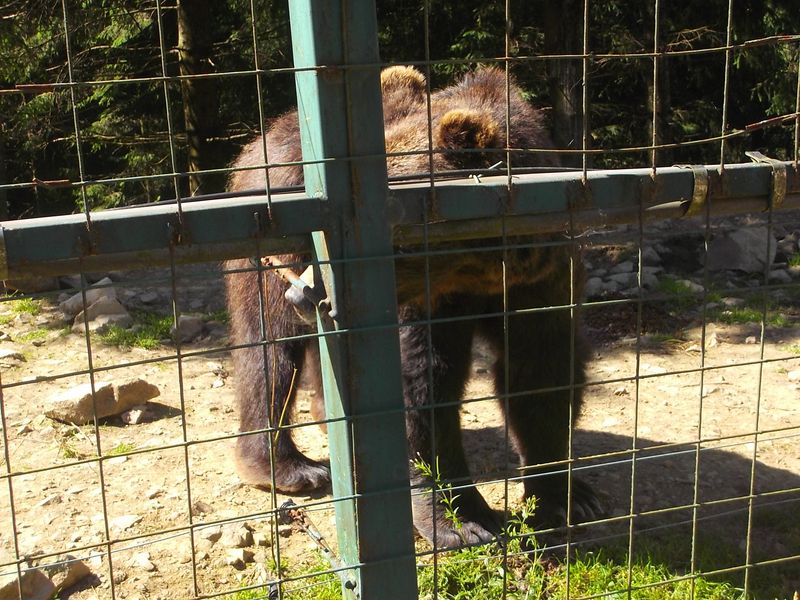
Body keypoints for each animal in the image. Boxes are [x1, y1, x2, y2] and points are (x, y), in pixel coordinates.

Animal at [224, 66, 601, 548]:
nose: (305, 294)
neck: (477, 270)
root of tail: (266, 133)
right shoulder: (425, 299)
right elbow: (421, 378)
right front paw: (463, 520)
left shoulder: (540, 279)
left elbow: (542, 369)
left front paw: (570, 497)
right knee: (270, 350)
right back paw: (291, 468)